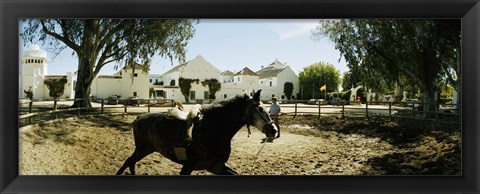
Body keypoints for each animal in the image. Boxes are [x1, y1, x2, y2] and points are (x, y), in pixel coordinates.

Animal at [116, 90, 278, 175]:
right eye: (260, 108)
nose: (274, 130)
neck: (214, 130)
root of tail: (139, 117)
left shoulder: (217, 166)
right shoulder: (188, 166)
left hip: (146, 149)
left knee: (131, 162)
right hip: (142, 149)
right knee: (129, 161)